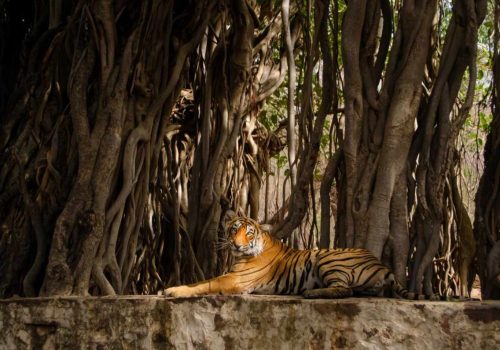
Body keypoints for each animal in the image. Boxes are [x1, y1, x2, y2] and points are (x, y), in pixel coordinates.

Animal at [166, 215, 408, 300]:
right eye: (234, 229)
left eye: (249, 232)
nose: (236, 244)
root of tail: (383, 265)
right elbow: (200, 281)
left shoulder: (235, 280)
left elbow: (205, 284)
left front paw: (173, 291)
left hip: (328, 257)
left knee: (343, 290)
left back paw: (311, 293)